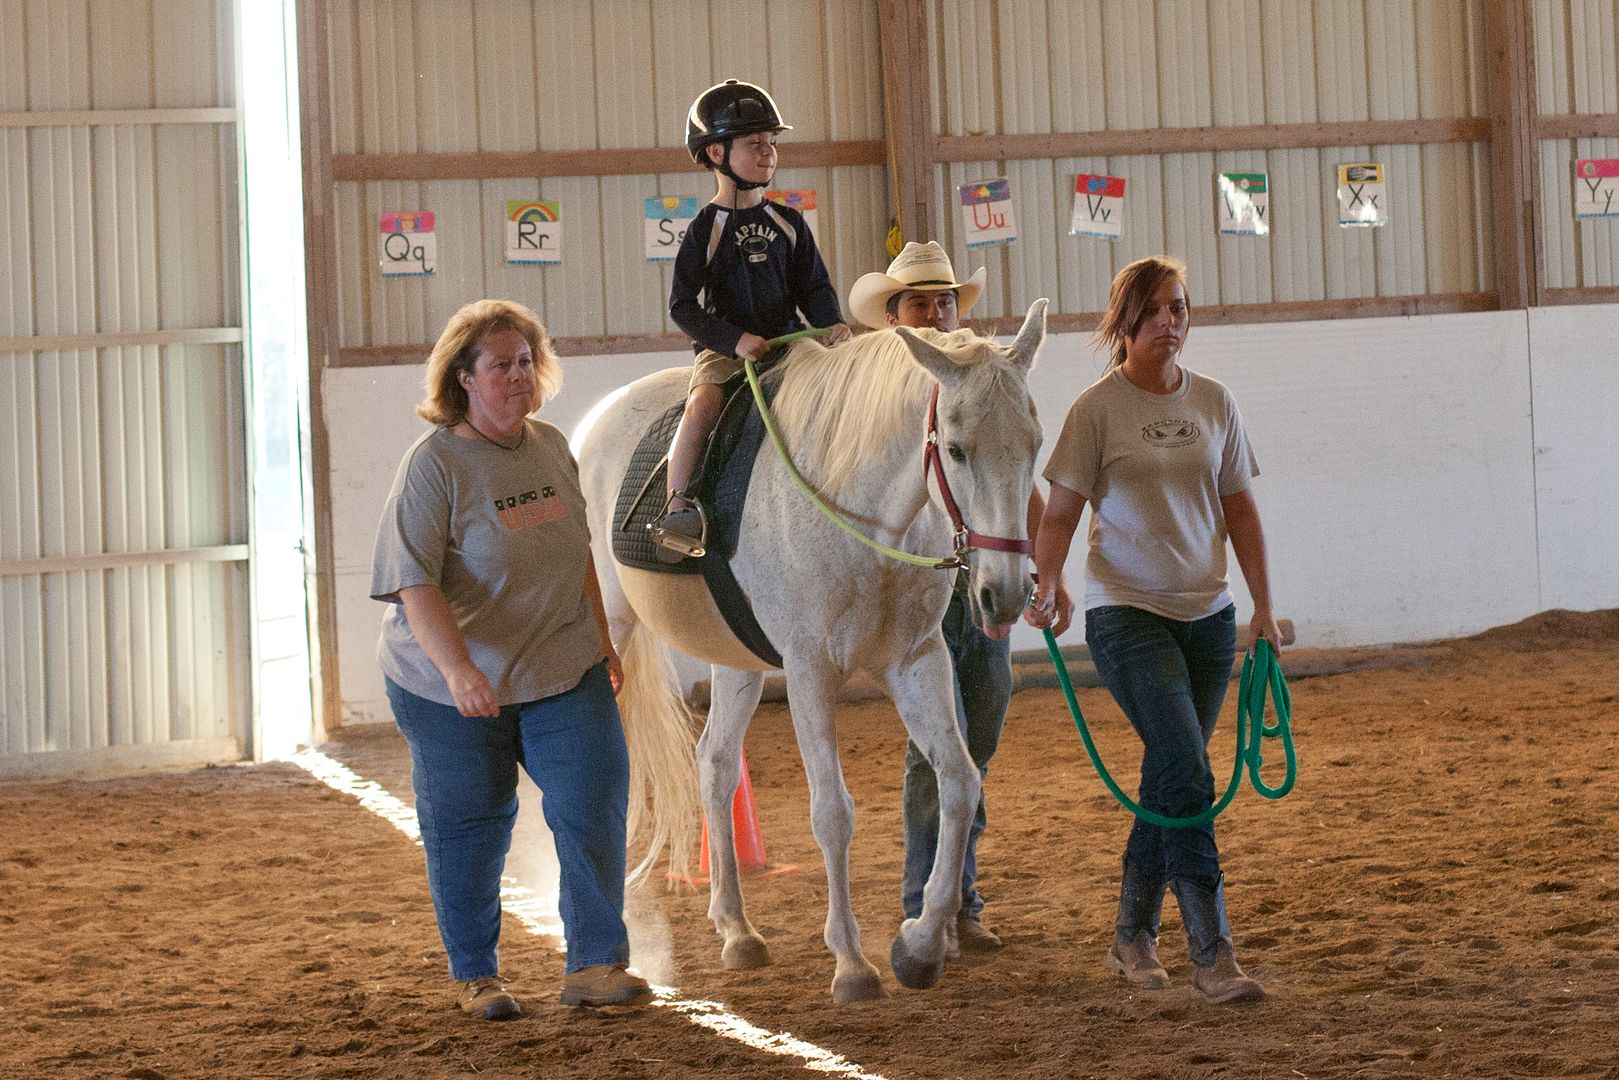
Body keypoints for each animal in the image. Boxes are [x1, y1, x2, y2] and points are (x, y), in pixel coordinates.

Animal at [582, 299, 1049, 1003]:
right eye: (957, 449)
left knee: (714, 765)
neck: (865, 515)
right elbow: (832, 813)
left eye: (1034, 446)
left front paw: (919, 945)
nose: (1007, 593)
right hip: (612, 632)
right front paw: (852, 964)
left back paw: (737, 930)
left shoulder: (916, 662)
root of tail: (593, 420)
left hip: (738, 663)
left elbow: (959, 784)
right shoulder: (808, 673)